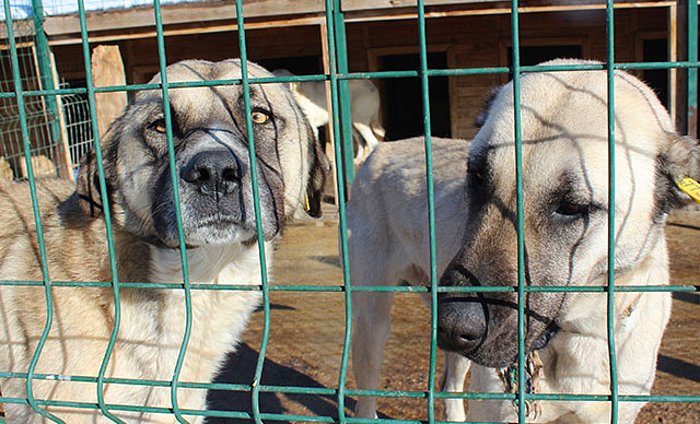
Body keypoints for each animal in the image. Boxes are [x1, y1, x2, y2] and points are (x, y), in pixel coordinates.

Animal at [348, 58, 696, 420]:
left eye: (572, 207)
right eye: (477, 176)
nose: (453, 325)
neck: (578, 338)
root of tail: (382, 149)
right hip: (372, 322)